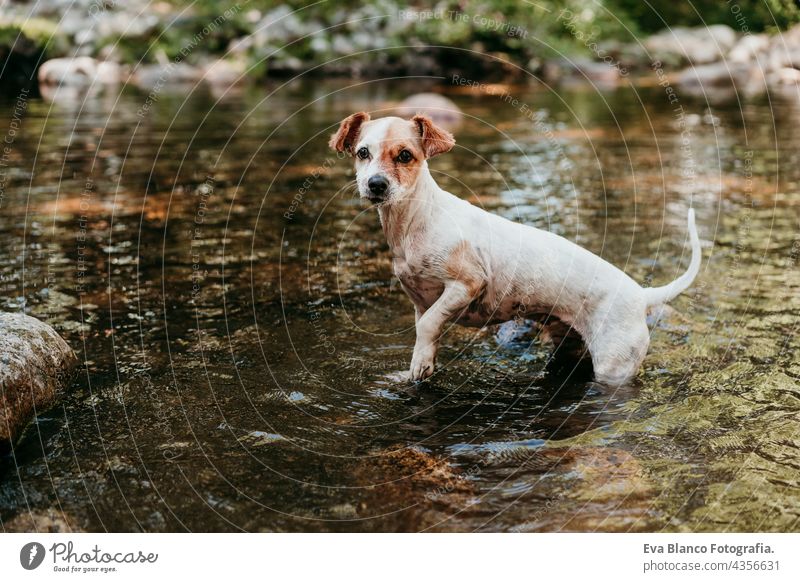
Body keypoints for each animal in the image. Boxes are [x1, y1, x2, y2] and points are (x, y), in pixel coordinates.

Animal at [330, 113, 700, 388]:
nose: (376, 185)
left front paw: (420, 363)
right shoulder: (421, 302)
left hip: (614, 366)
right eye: (362, 152)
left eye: (405, 155)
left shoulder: (467, 284)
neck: (414, 222)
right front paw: (417, 368)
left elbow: (429, 325)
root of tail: (642, 294)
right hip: (567, 345)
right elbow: (426, 332)